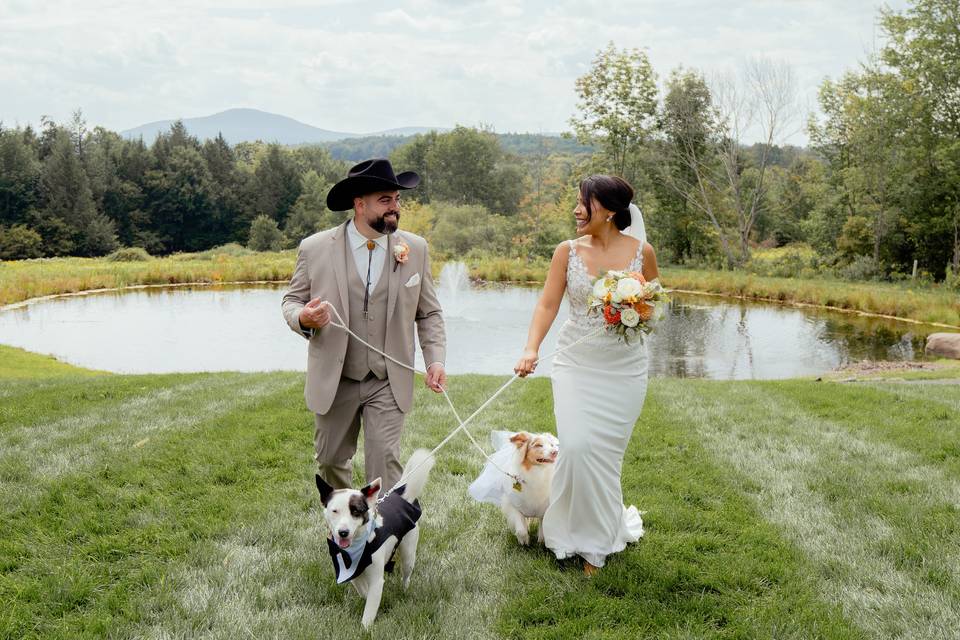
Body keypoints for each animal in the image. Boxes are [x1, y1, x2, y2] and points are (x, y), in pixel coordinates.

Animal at [316, 448, 436, 628]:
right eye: (334, 511)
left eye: (356, 511)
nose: (343, 532)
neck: (359, 545)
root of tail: (402, 496)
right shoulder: (350, 571)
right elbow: (362, 589)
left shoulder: (376, 579)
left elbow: (370, 606)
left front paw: (365, 628)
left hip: (409, 552)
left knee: (406, 573)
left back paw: (404, 589)